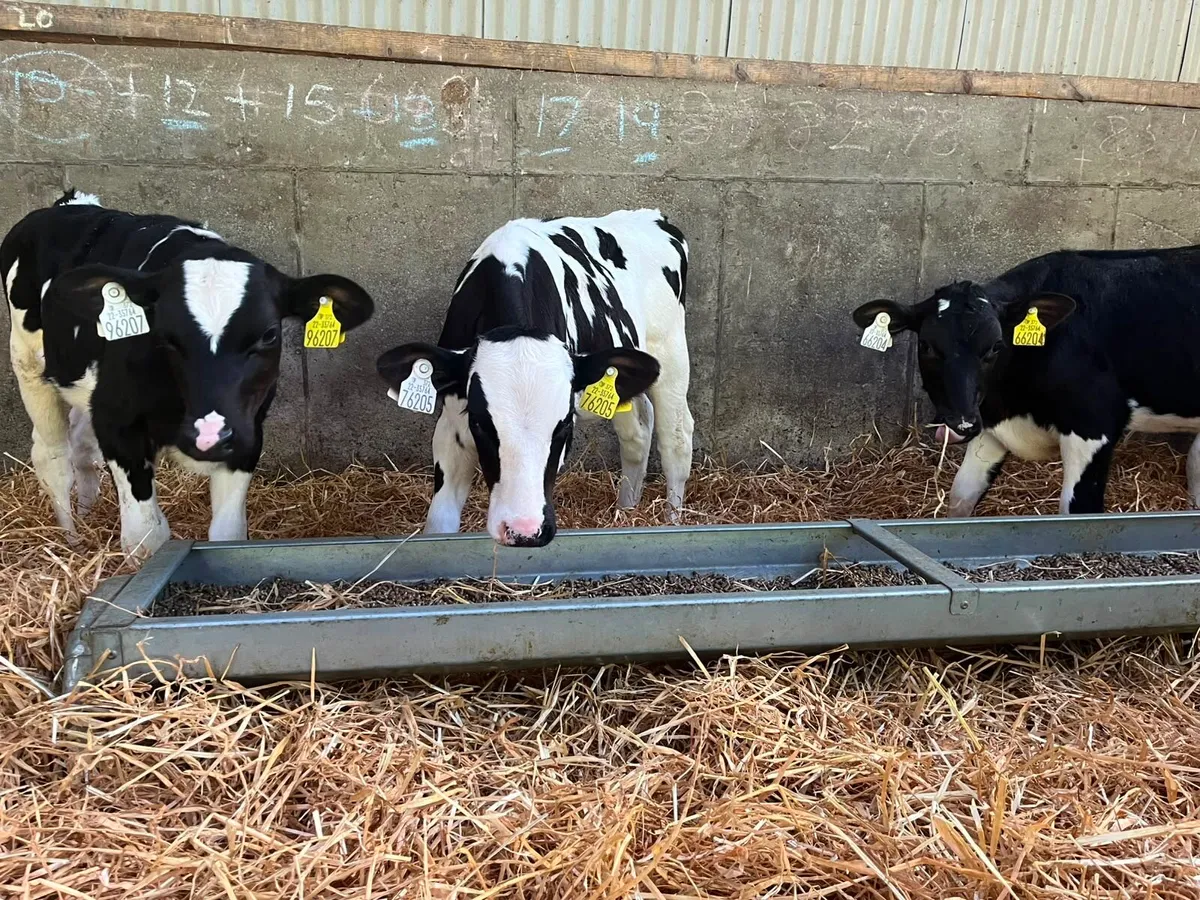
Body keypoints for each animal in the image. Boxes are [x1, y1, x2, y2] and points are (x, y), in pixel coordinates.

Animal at [3, 190, 374, 557]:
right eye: (164, 334)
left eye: (269, 334)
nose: (209, 436)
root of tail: (71, 203)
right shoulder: (118, 424)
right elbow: (146, 537)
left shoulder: (247, 430)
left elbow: (228, 534)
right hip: (28, 363)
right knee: (53, 457)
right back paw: (71, 541)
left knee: (82, 446)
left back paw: (87, 513)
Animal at [376, 208, 694, 548]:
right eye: (479, 422)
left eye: (565, 425)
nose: (524, 531)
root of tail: (653, 216)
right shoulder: (451, 424)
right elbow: (439, 523)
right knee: (637, 428)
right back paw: (626, 512)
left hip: (671, 349)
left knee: (676, 437)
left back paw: (671, 521)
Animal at [852, 245, 1200, 517]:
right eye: (926, 346)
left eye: (995, 346)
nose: (960, 424)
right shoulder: (990, 425)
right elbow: (961, 496)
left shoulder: (1093, 426)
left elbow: (1078, 510)